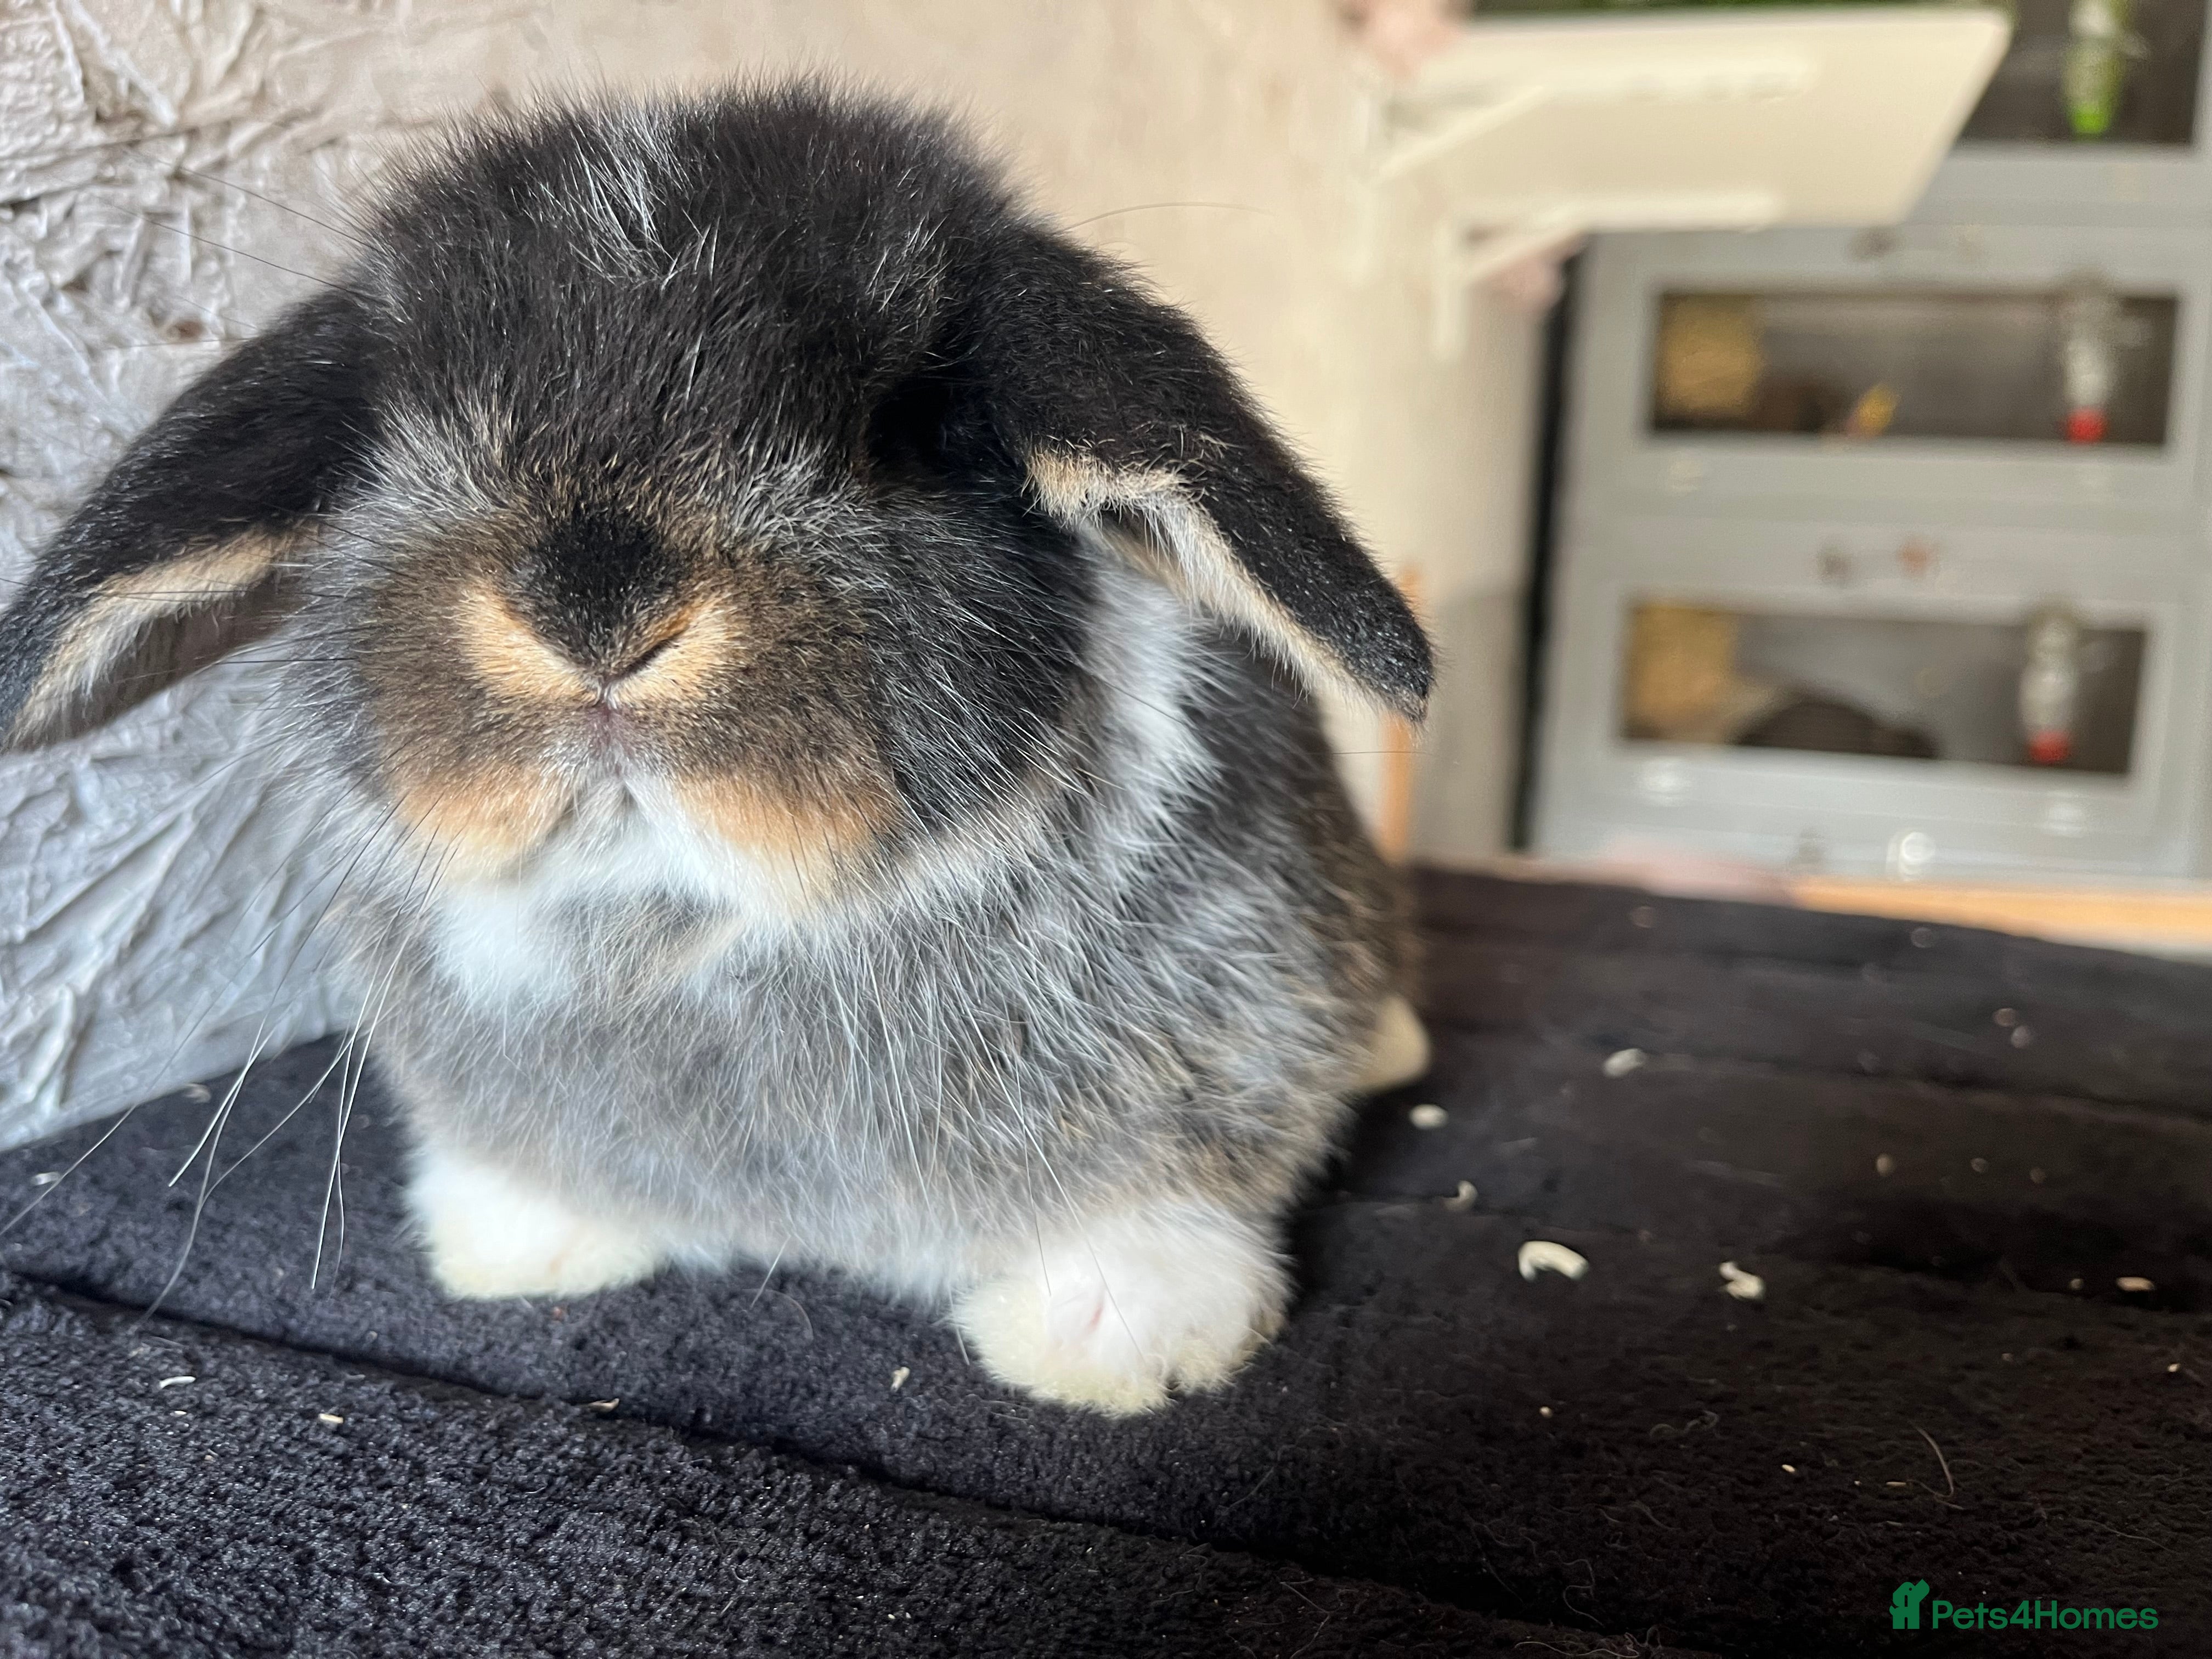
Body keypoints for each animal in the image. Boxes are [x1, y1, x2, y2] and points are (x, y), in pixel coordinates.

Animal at [0, 85, 1433, 1415]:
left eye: (904, 432)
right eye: (395, 431)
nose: (594, 610)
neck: (680, 918)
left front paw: (1109, 1344)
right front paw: (518, 1250)